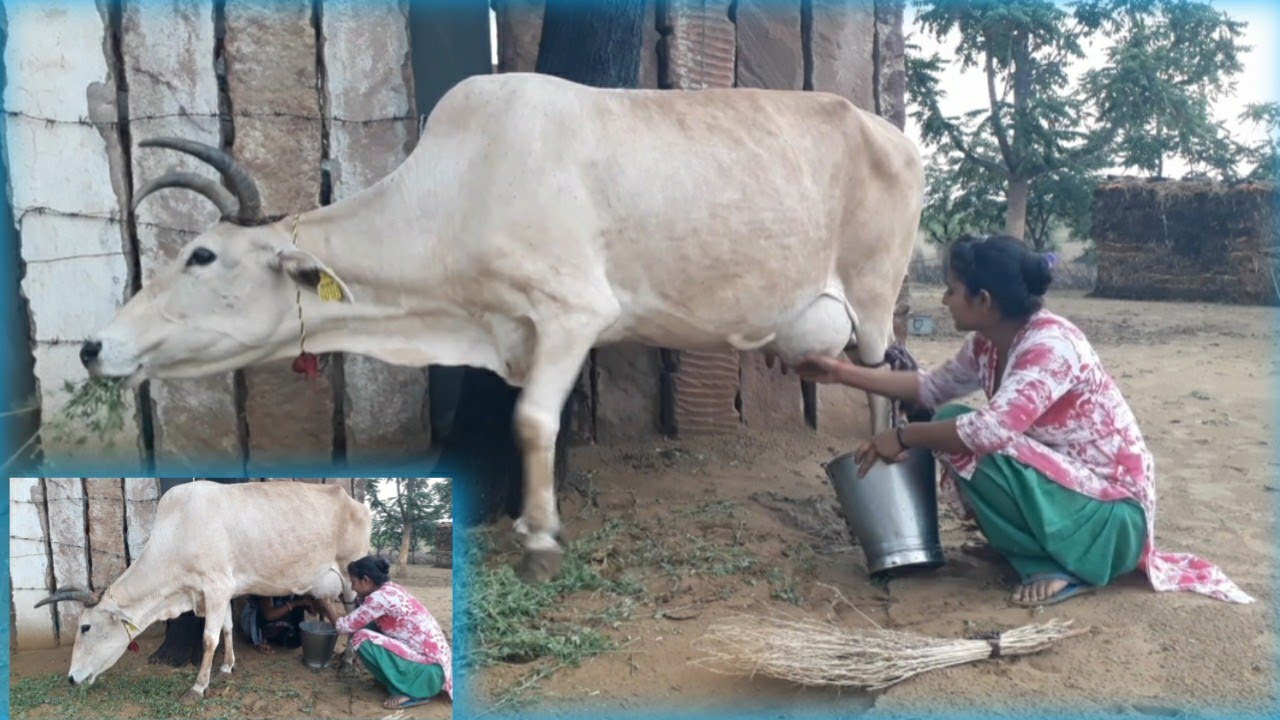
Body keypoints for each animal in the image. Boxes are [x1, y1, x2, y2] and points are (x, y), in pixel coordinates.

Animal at [35, 481, 371, 703]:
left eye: (85, 627)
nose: (72, 678)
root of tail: (355, 502)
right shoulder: (222, 592)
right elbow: (227, 628)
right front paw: (226, 667)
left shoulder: (216, 588)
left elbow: (210, 638)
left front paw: (197, 687)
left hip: (350, 575)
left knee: (358, 614)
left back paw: (346, 663)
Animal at [82, 73, 924, 584]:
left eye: (202, 254)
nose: (95, 345)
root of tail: (890, 130)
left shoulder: (573, 310)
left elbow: (533, 422)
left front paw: (540, 540)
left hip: (874, 294)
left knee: (882, 381)